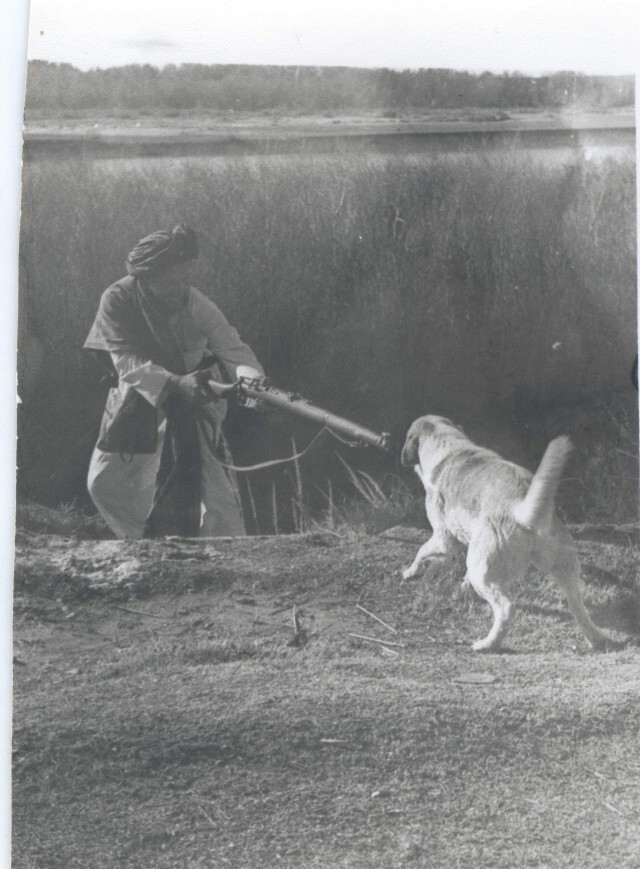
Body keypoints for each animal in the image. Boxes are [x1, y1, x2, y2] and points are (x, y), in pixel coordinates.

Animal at [400, 416, 608, 652]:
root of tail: (521, 511)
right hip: (565, 571)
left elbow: (421, 551)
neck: (446, 444)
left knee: (507, 609)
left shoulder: (443, 539)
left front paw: (410, 572)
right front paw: (462, 587)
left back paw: (487, 644)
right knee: (578, 608)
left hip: (486, 577)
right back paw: (596, 639)